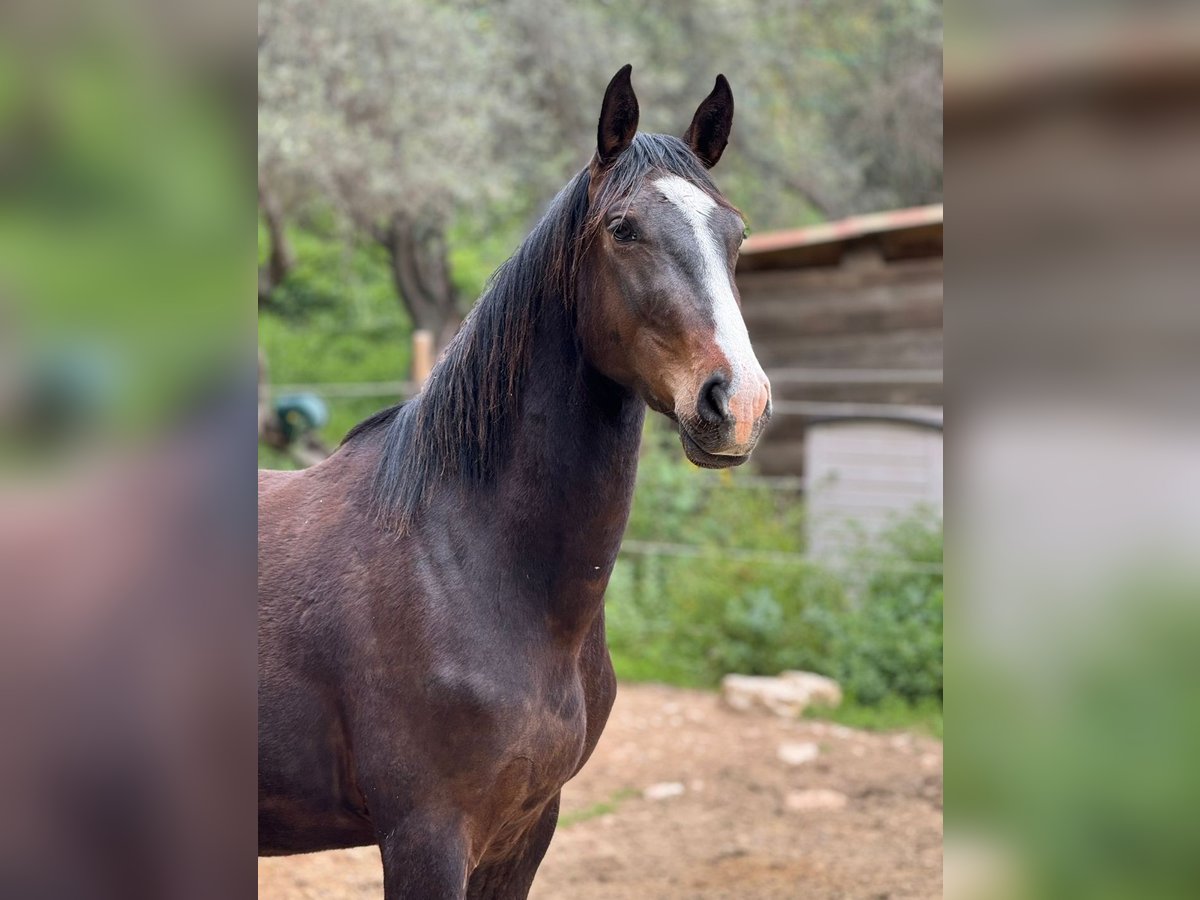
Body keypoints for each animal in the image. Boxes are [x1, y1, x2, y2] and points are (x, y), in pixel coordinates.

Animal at [258, 68, 772, 900]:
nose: (740, 404)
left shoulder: (525, 831)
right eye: (623, 229)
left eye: (736, 234)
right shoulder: (426, 838)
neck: (464, 563)